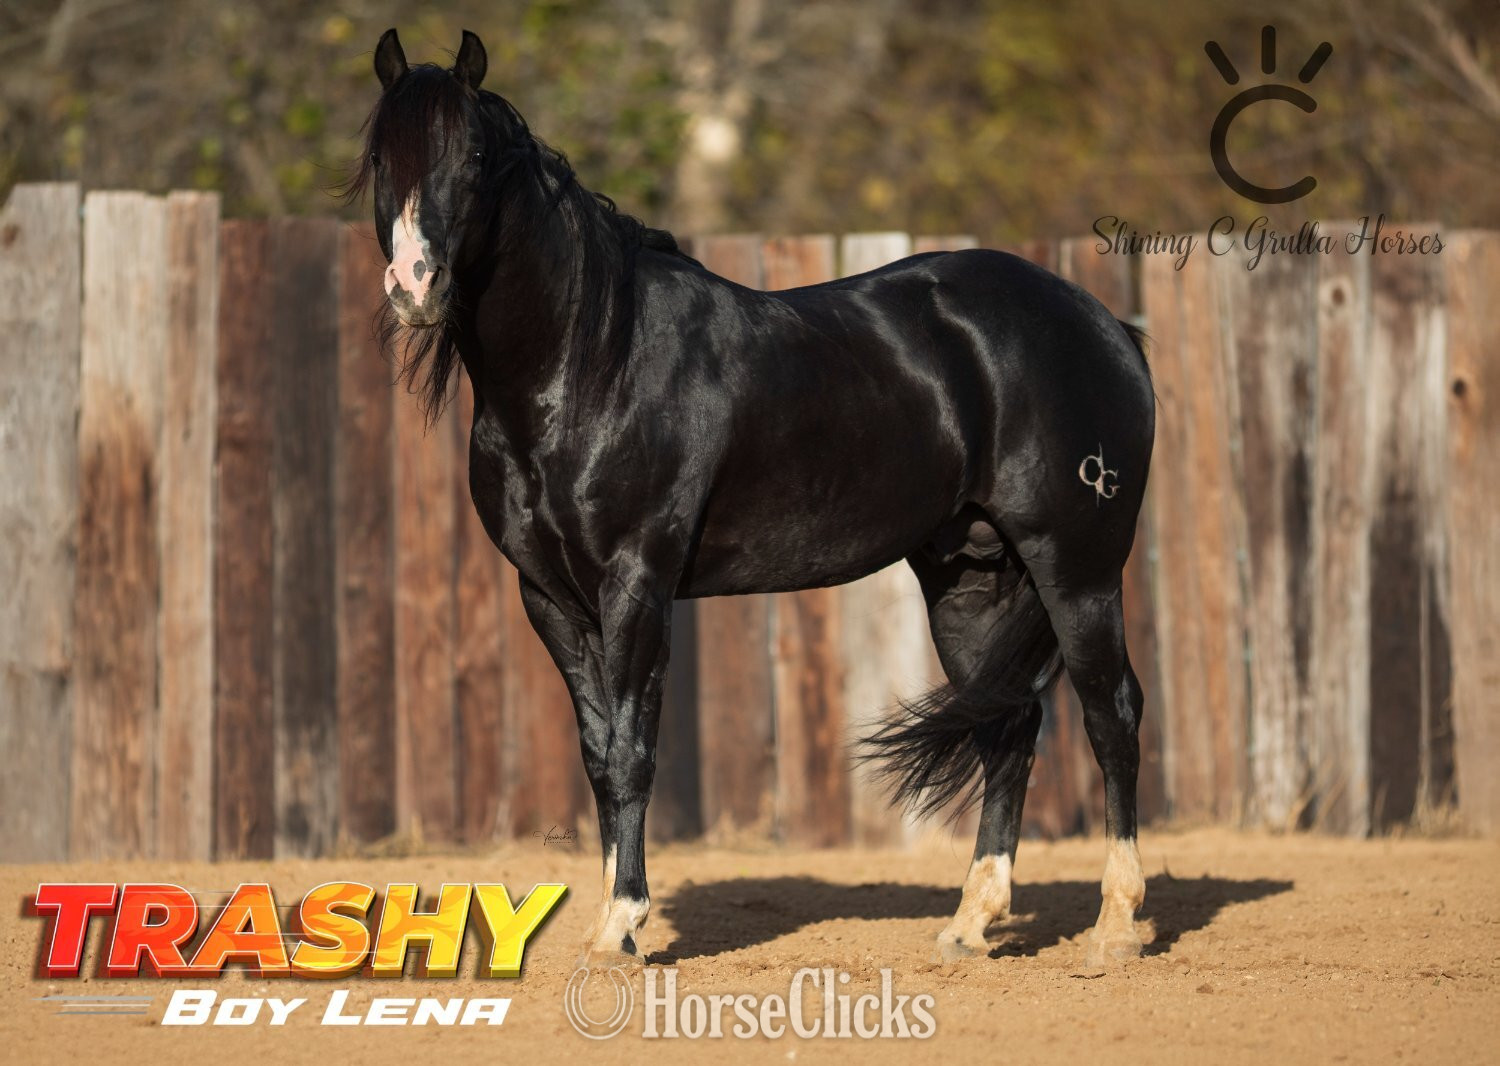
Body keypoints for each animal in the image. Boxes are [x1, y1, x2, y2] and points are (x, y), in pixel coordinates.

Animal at [352, 28, 1156, 969]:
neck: (592, 361)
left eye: (473, 156)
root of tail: (1107, 328)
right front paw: (614, 927)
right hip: (970, 579)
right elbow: (598, 754)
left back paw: (1115, 925)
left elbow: (634, 750)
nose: (415, 284)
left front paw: (620, 924)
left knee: (1111, 711)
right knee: (1010, 728)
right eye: (381, 157)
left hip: (1078, 568)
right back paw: (969, 924)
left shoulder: (637, 585)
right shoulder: (549, 597)